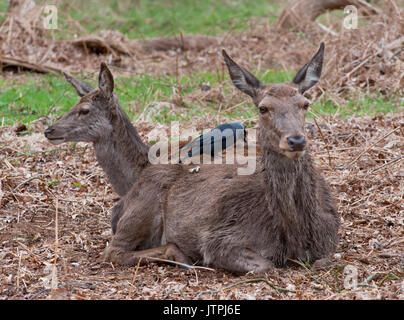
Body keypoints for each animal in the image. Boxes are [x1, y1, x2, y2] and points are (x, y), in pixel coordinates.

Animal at [102, 43, 340, 276]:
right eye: (263, 108)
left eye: (305, 104)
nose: (296, 140)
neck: (294, 232)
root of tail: (121, 204)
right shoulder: (220, 239)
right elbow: (266, 266)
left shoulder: (330, 239)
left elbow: (325, 262)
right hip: (142, 207)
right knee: (113, 251)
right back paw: (180, 257)